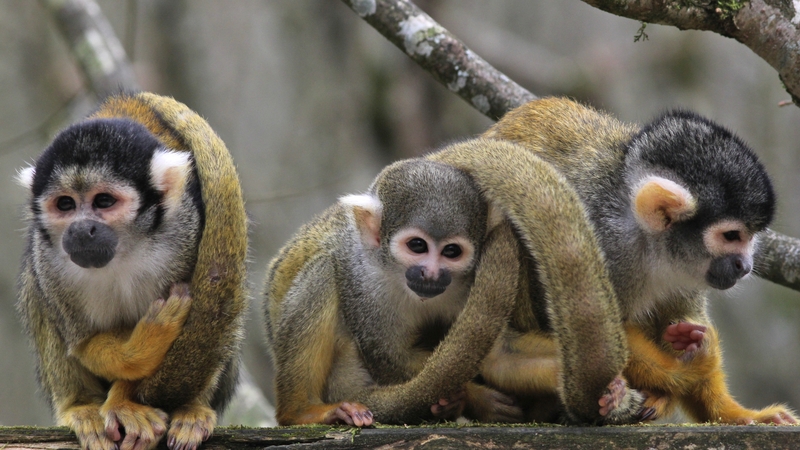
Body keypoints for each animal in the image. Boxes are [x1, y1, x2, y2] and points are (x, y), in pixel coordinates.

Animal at [16, 92, 248, 450]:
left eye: (104, 201)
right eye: (65, 204)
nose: (81, 230)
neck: (125, 250)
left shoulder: (186, 233)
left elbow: (211, 320)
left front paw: (124, 400)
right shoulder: (50, 263)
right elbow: (84, 344)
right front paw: (142, 348)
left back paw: (191, 407)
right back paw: (79, 406)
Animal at [263, 143, 616, 426]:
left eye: (451, 252)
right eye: (417, 246)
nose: (430, 274)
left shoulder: (469, 282)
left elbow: (500, 355)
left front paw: (611, 389)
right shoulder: (363, 283)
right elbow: (390, 358)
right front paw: (476, 398)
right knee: (323, 270)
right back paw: (300, 411)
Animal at [429, 96, 798, 425]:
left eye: (750, 237)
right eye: (732, 236)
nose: (744, 265)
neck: (646, 243)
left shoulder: (685, 270)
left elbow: (684, 317)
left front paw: (737, 415)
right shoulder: (605, 242)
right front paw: (685, 368)